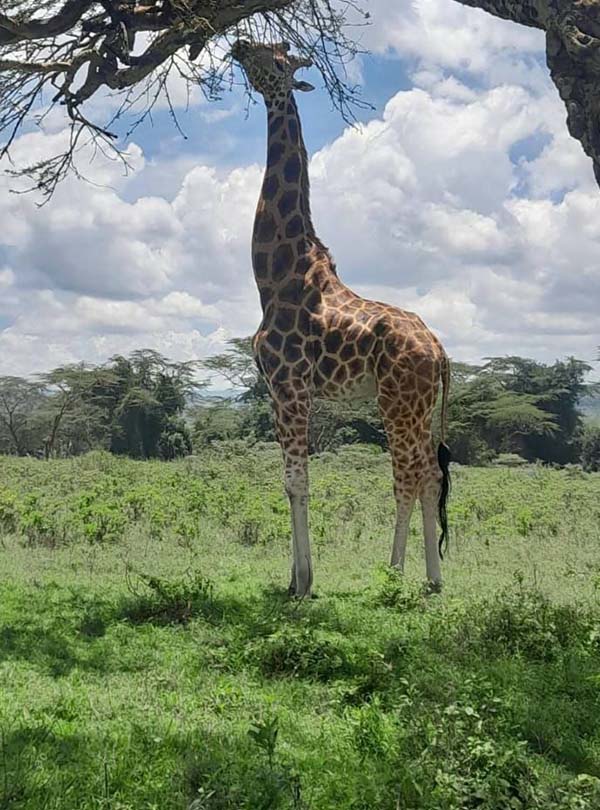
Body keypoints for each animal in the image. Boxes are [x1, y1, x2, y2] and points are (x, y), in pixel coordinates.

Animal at [231, 40, 451, 598]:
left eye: (276, 59)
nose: (238, 45)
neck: (275, 276)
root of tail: (440, 351)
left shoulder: (290, 385)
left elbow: (297, 480)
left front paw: (305, 584)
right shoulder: (276, 390)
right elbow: (290, 482)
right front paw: (293, 577)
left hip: (397, 402)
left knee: (409, 473)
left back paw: (395, 573)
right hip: (415, 405)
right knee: (429, 474)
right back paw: (430, 579)